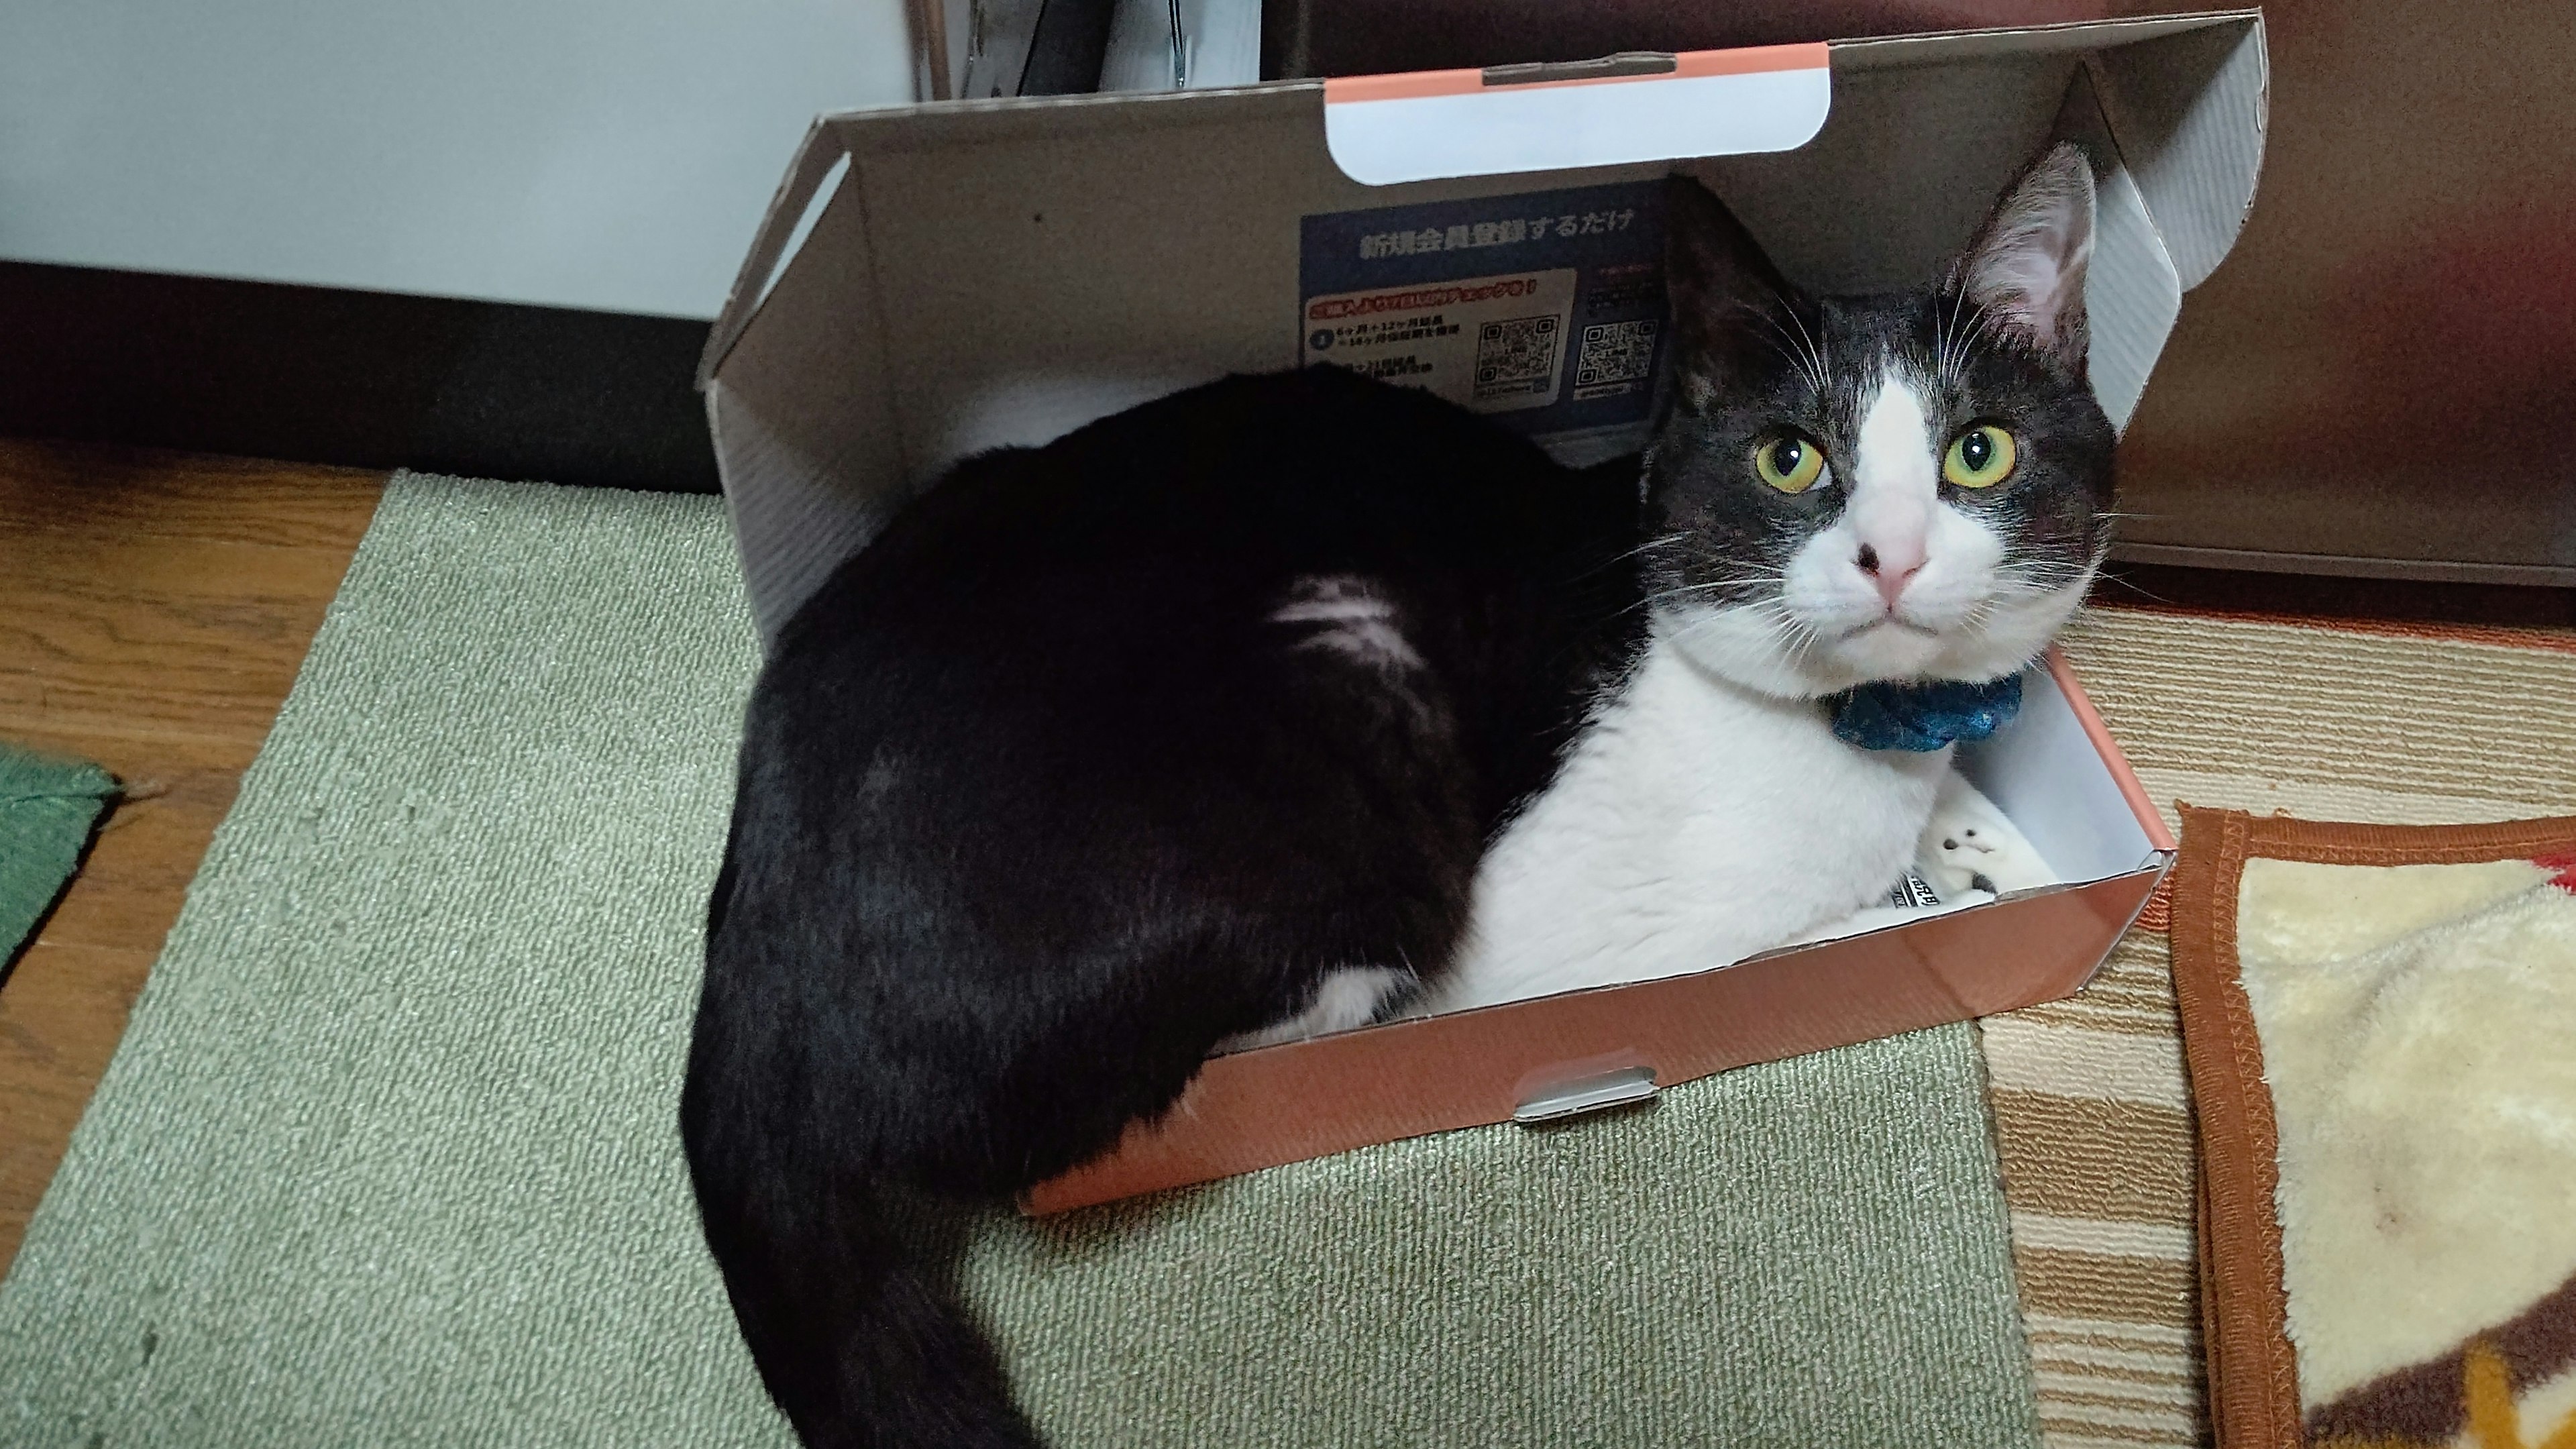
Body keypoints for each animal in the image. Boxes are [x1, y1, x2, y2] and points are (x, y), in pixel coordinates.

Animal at [680, 138, 2112, 1444]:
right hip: (1351, 707)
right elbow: (1818, 931)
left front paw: (1986, 849)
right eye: (1790, 461)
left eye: (1978, 454)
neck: (1856, 728)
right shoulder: (1583, 942)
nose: (1894, 557)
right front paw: (1926, 889)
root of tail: (751, 999)